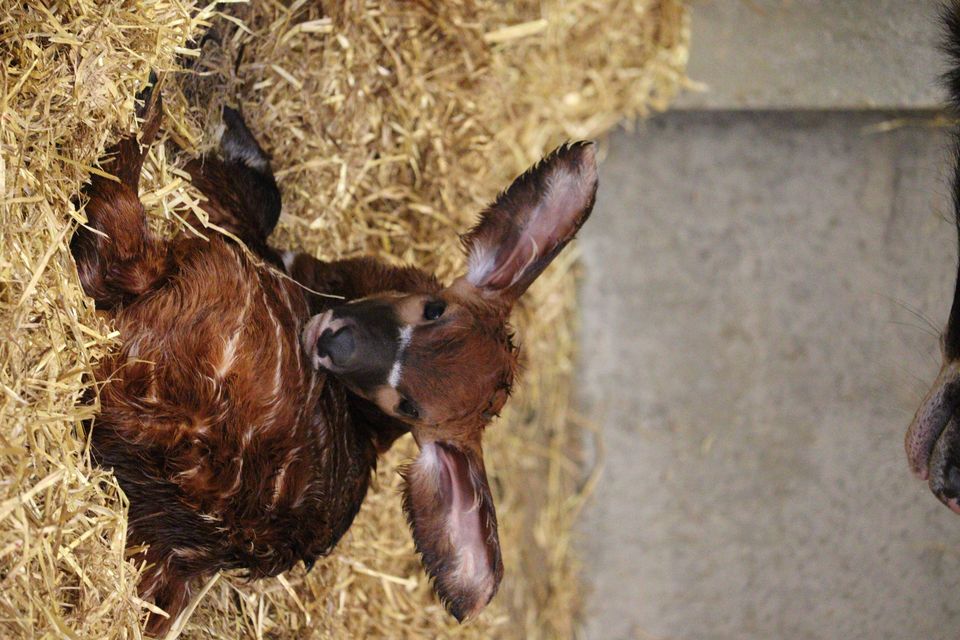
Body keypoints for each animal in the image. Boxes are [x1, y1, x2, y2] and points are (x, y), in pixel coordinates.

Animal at [75, 81, 596, 636]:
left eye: (409, 406)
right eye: (433, 308)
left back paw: (147, 104)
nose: (335, 342)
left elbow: (250, 188)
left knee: (115, 237)